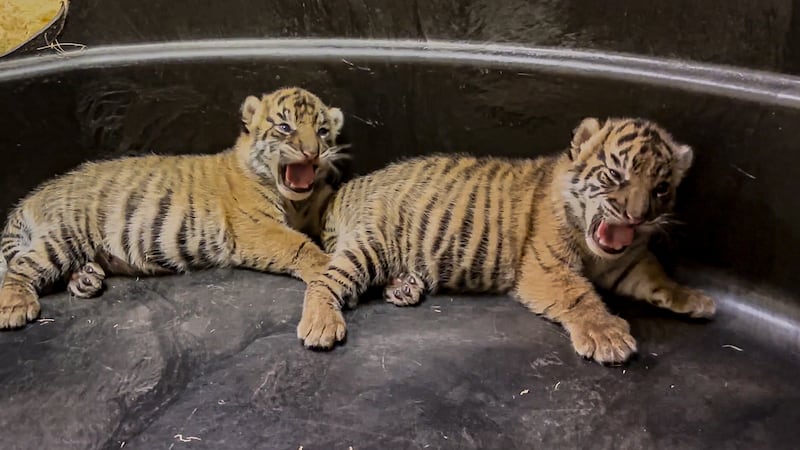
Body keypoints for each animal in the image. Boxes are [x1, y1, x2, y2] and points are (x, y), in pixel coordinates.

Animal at [0, 87, 347, 329]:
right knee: (22, 266)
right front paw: (326, 263)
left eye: (322, 131)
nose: (313, 152)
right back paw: (14, 306)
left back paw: (86, 279)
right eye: (286, 127)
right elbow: (298, 245)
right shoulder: (257, 229)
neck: (292, 200)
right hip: (66, 234)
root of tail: (39, 193)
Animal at [296, 117, 716, 364]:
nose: (637, 215)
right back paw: (321, 325)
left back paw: (404, 286)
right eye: (615, 175)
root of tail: (346, 189)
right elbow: (579, 295)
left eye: (661, 188)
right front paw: (607, 335)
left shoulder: (626, 260)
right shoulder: (546, 267)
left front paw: (692, 297)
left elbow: (656, 274)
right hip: (373, 242)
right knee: (324, 278)